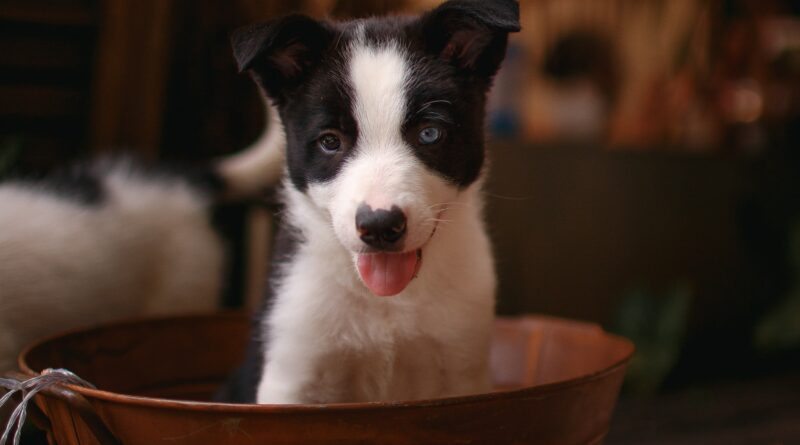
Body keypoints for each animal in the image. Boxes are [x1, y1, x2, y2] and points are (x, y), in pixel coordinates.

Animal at [217, 0, 520, 402]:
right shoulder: (292, 373)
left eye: (430, 133)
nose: (379, 226)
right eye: (330, 141)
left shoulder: (463, 368)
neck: (387, 301)